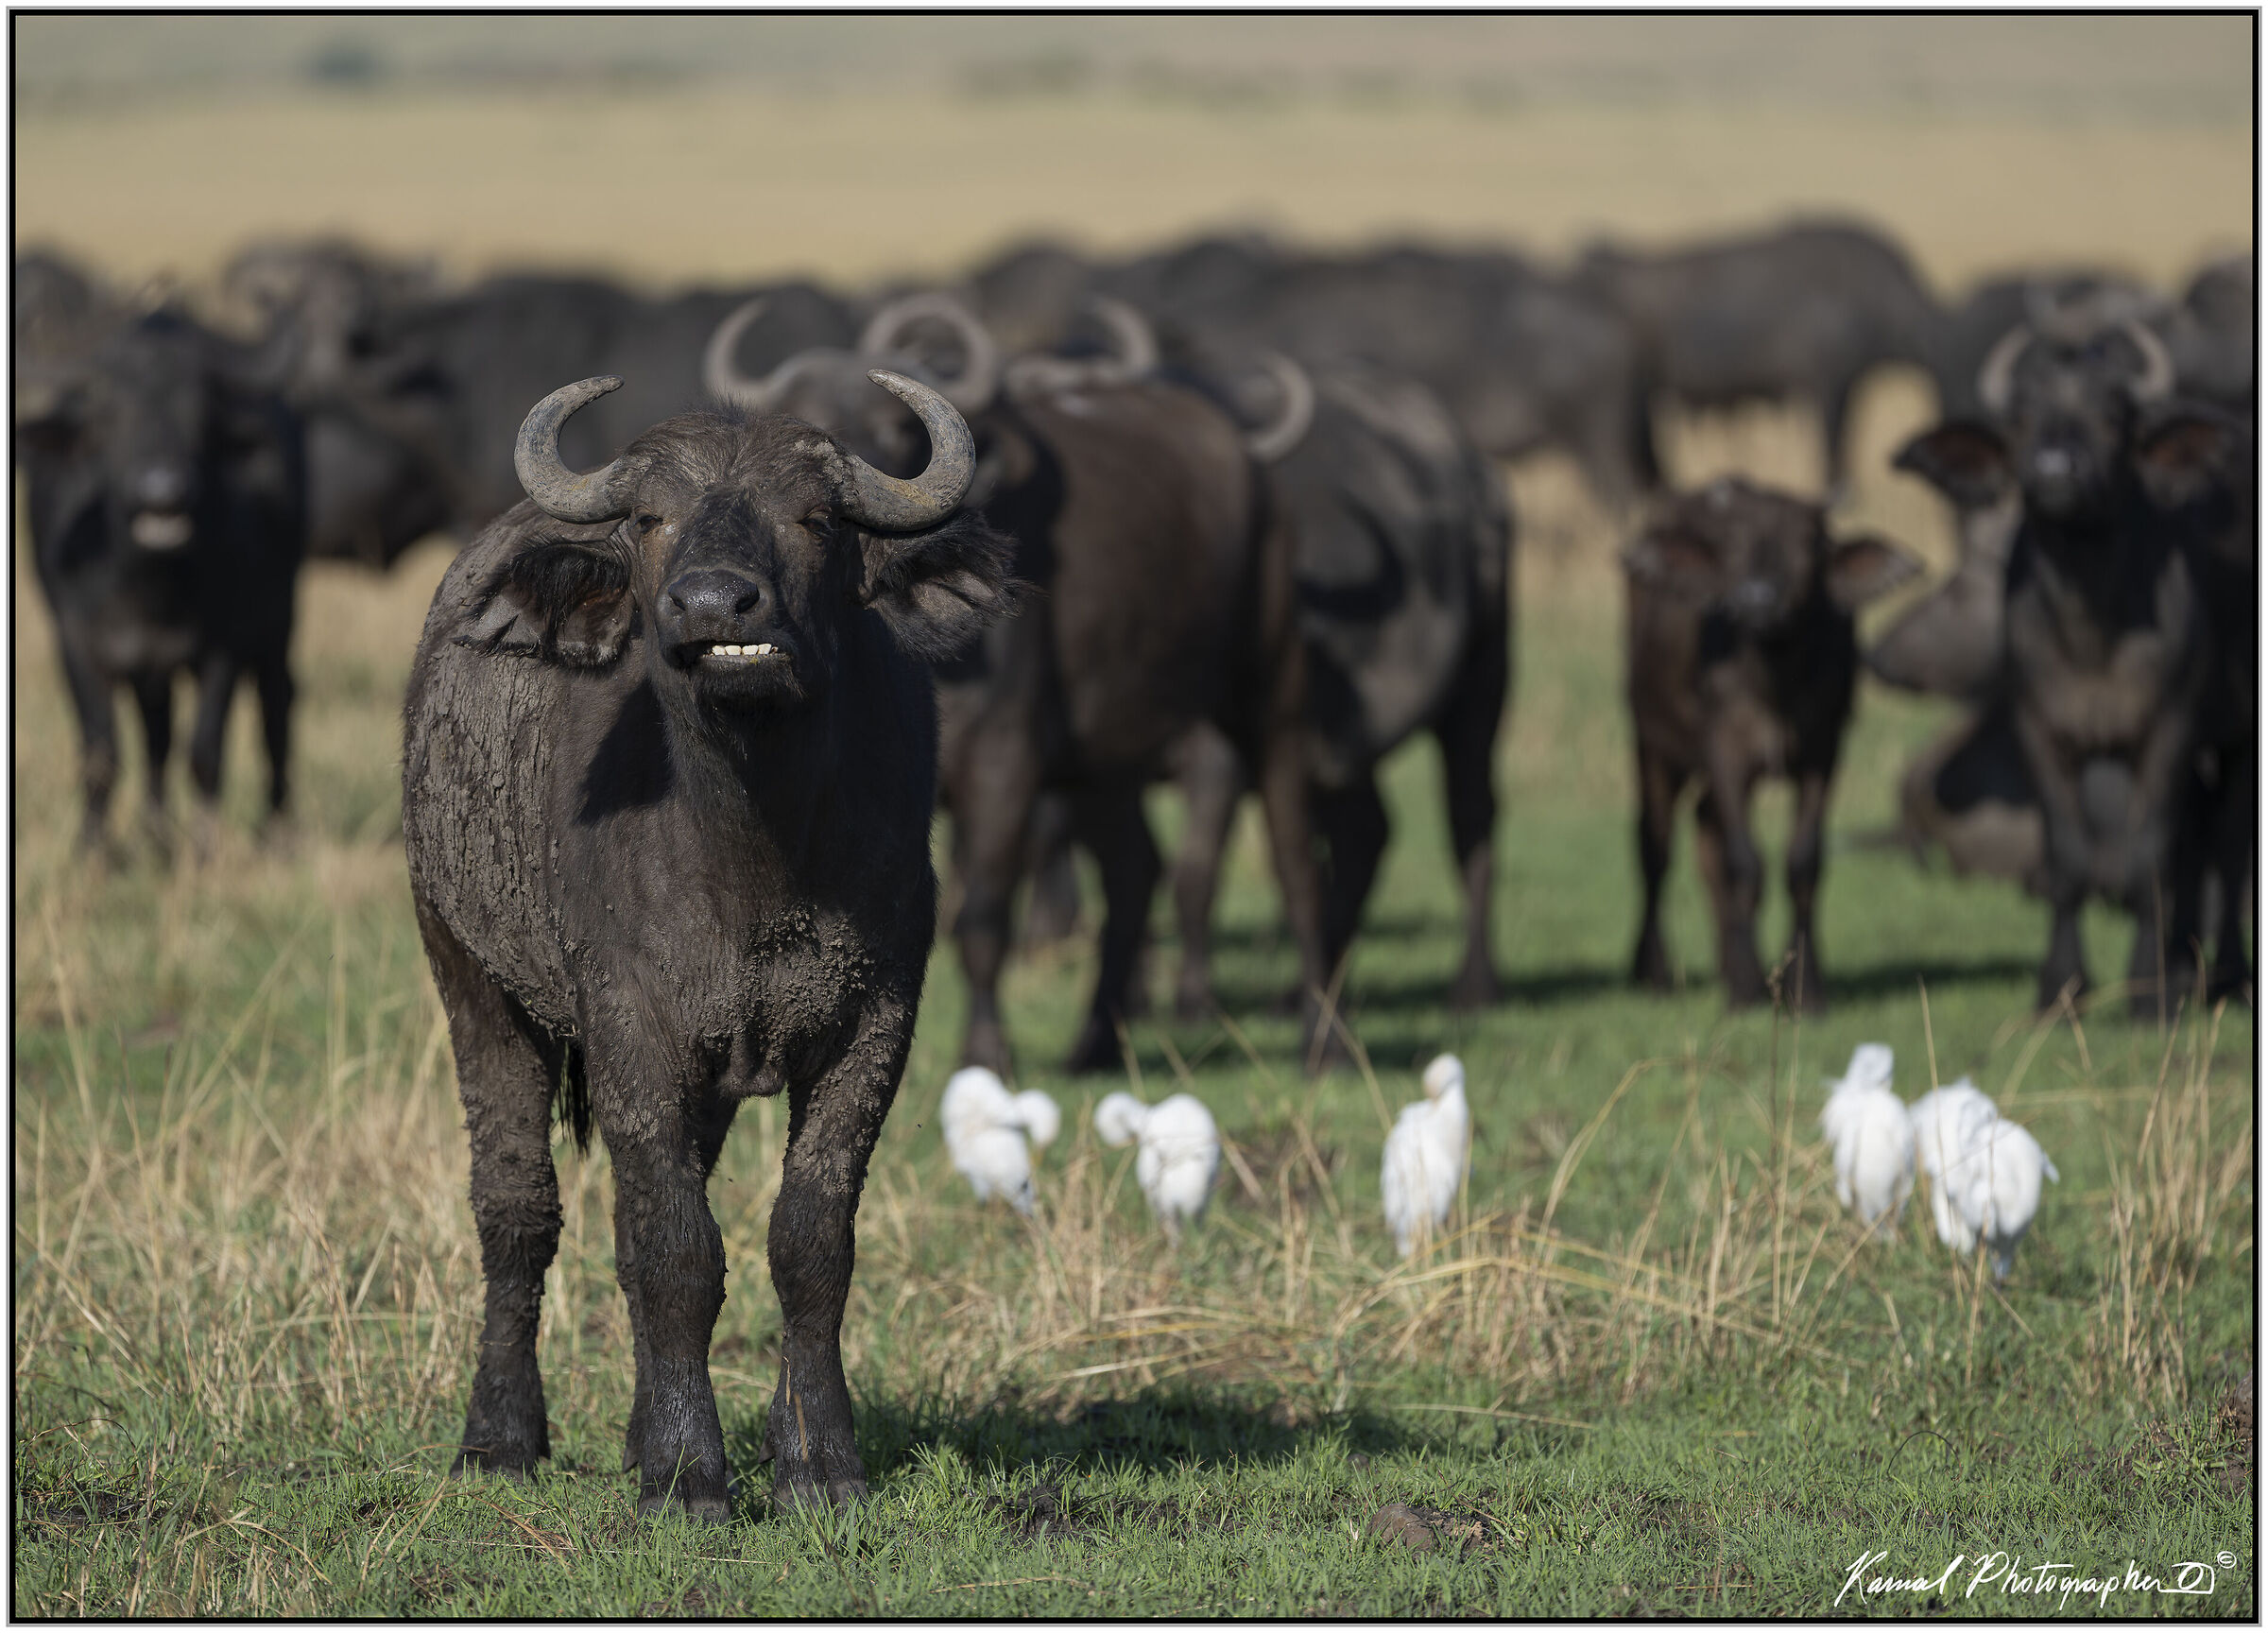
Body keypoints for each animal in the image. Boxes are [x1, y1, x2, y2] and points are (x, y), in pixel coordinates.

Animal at [401, 370, 1013, 1519]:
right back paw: (499, 1435)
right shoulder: (632, 1032)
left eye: (815, 518)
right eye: (651, 520)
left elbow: (807, 1243)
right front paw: (688, 1476)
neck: (754, 855)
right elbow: (681, 1252)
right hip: (469, 976)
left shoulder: (874, 1029)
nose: (716, 608)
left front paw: (817, 1461)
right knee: (518, 1210)